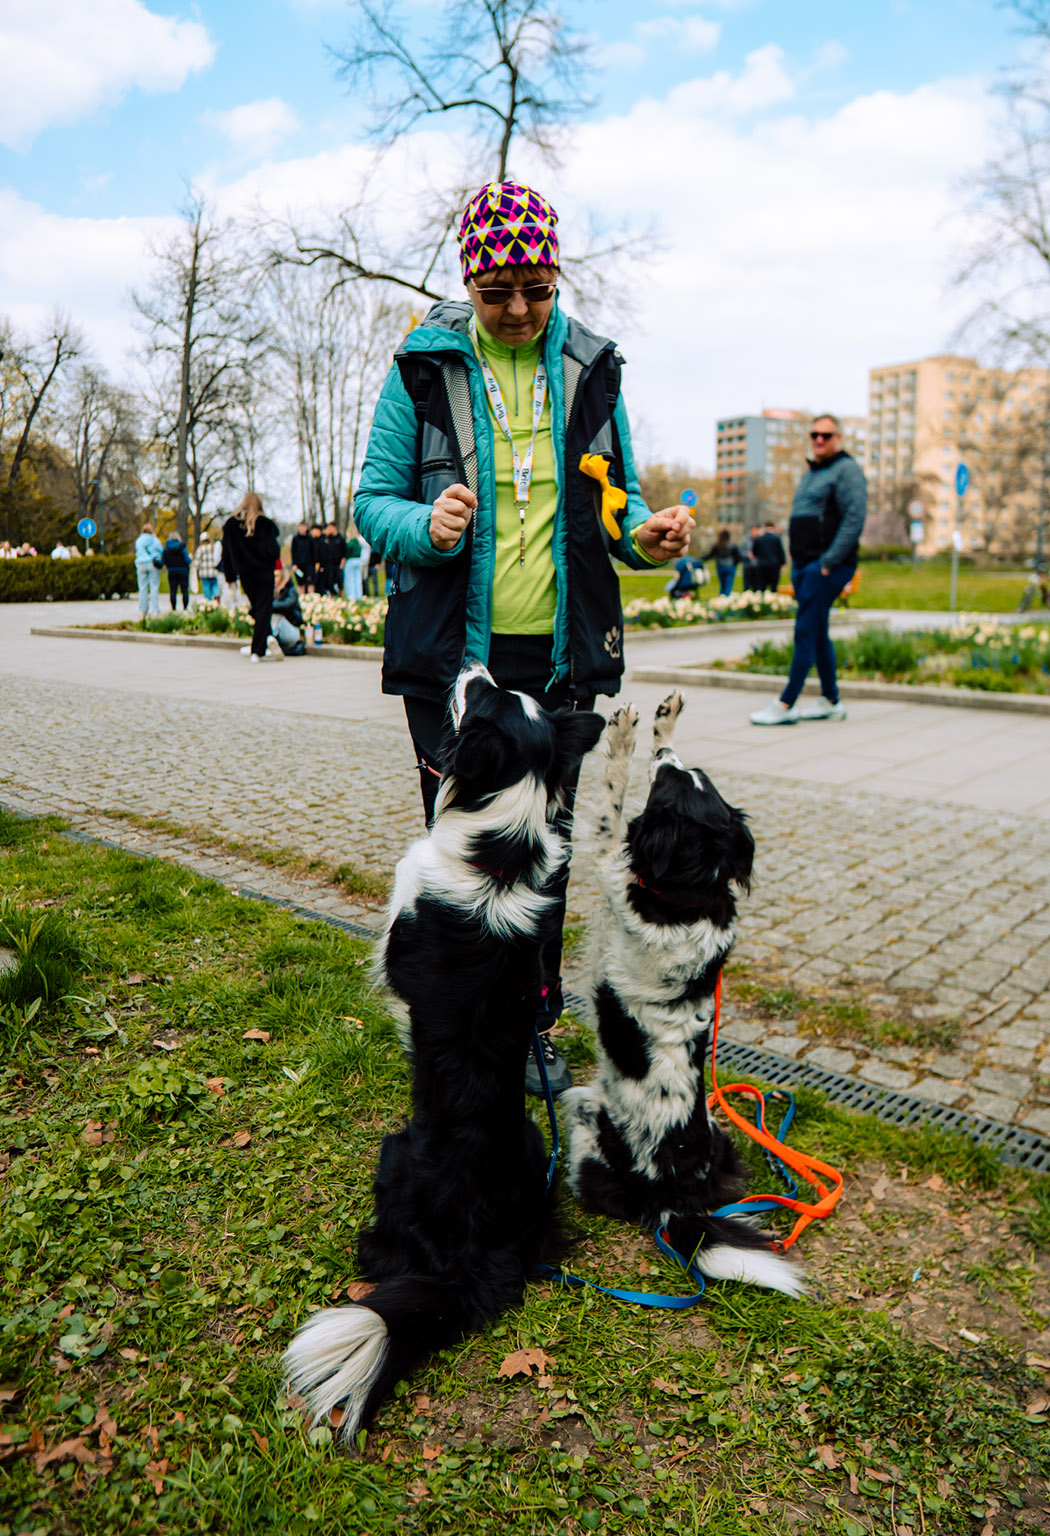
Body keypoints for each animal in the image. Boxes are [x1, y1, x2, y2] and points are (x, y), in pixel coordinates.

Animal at [283, 663, 605, 1440]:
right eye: (500, 691)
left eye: (481, 699)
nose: (471, 666)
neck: (498, 856)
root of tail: (475, 1252)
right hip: (535, 1151)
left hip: (392, 1152)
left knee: (379, 1254)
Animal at [562, 692, 804, 1297]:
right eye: (693, 777)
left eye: (668, 788)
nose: (668, 758)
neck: (693, 888)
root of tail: (674, 1200)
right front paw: (665, 721)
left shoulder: (610, 860)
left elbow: (612, 795)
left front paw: (626, 736)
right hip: (723, 1137)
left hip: (586, 1118)